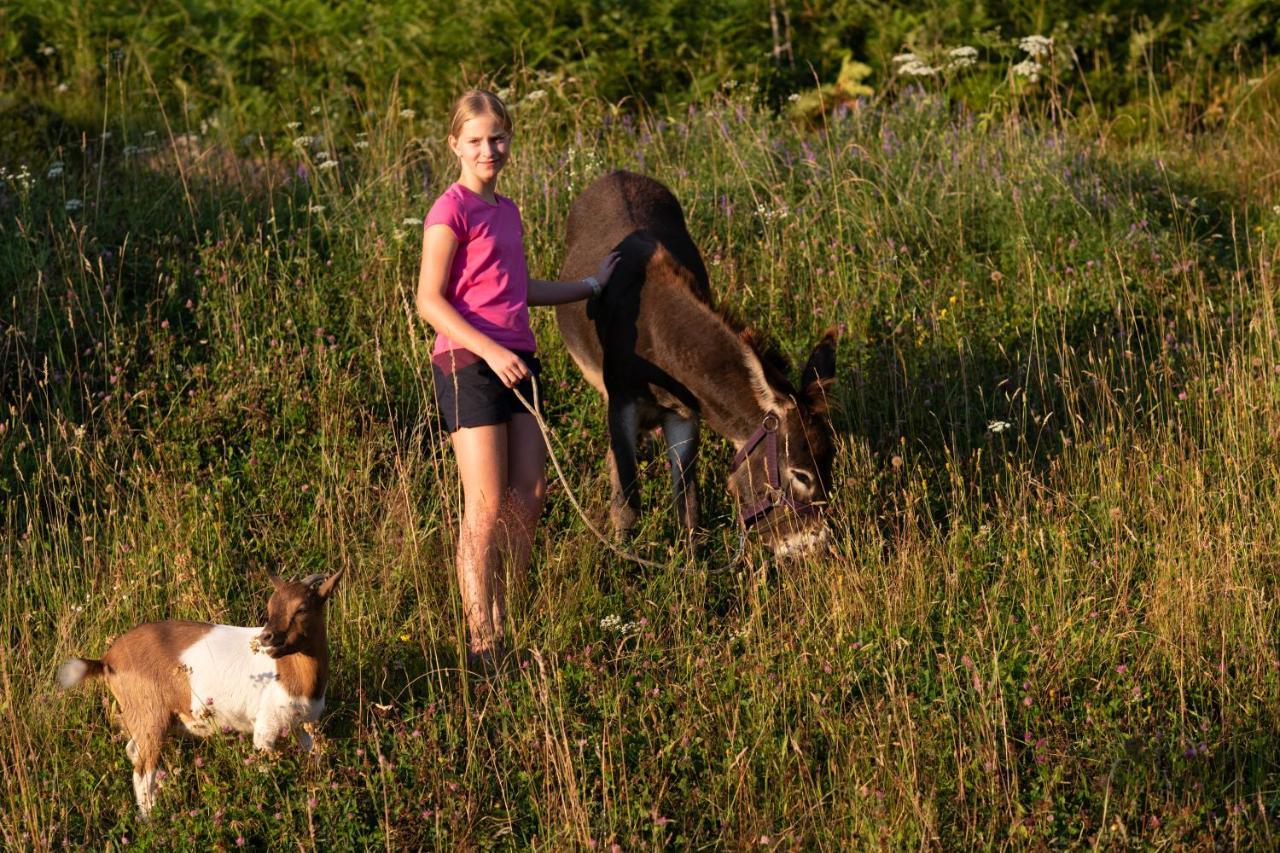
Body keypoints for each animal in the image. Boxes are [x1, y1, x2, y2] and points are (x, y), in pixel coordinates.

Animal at [57, 568, 343, 814]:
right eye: (271, 607)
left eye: (302, 608)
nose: (266, 638)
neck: (294, 673)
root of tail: (107, 660)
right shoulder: (266, 727)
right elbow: (266, 767)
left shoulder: (304, 724)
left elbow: (314, 755)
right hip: (151, 715)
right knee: (143, 770)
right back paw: (152, 821)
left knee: (133, 751)